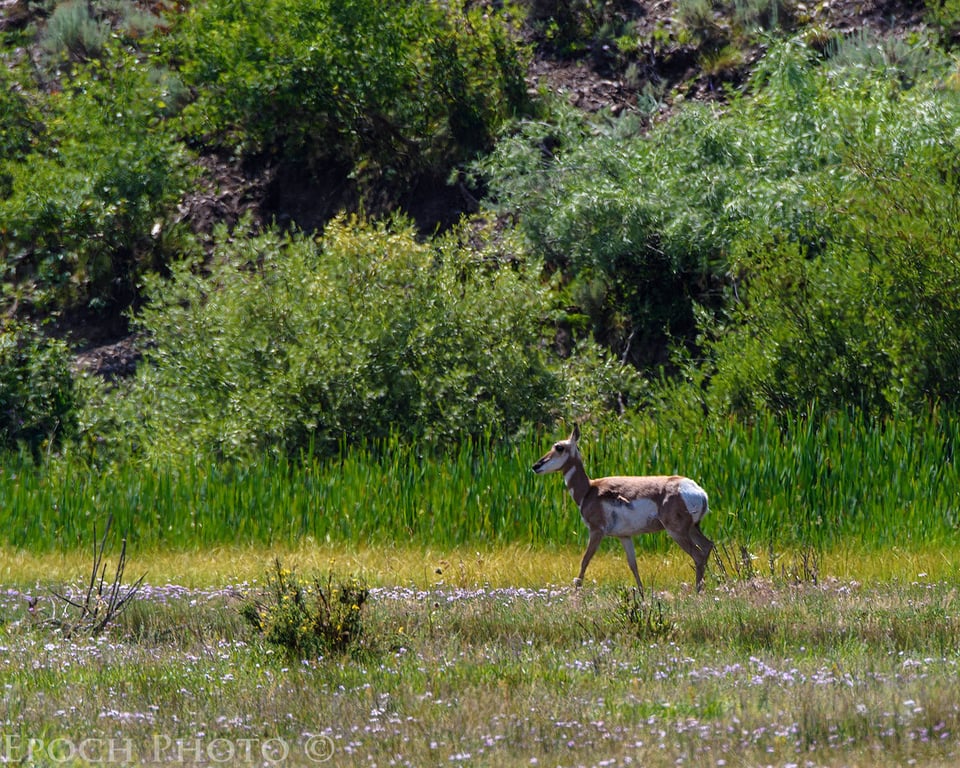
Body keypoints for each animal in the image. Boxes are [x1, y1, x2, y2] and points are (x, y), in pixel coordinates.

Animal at [532, 426, 712, 592]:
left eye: (559, 447)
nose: (535, 466)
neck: (589, 490)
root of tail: (699, 492)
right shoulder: (625, 536)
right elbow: (633, 565)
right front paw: (642, 596)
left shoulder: (596, 531)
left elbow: (585, 560)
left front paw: (576, 593)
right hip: (692, 529)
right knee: (707, 546)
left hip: (677, 531)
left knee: (698, 555)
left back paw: (697, 592)